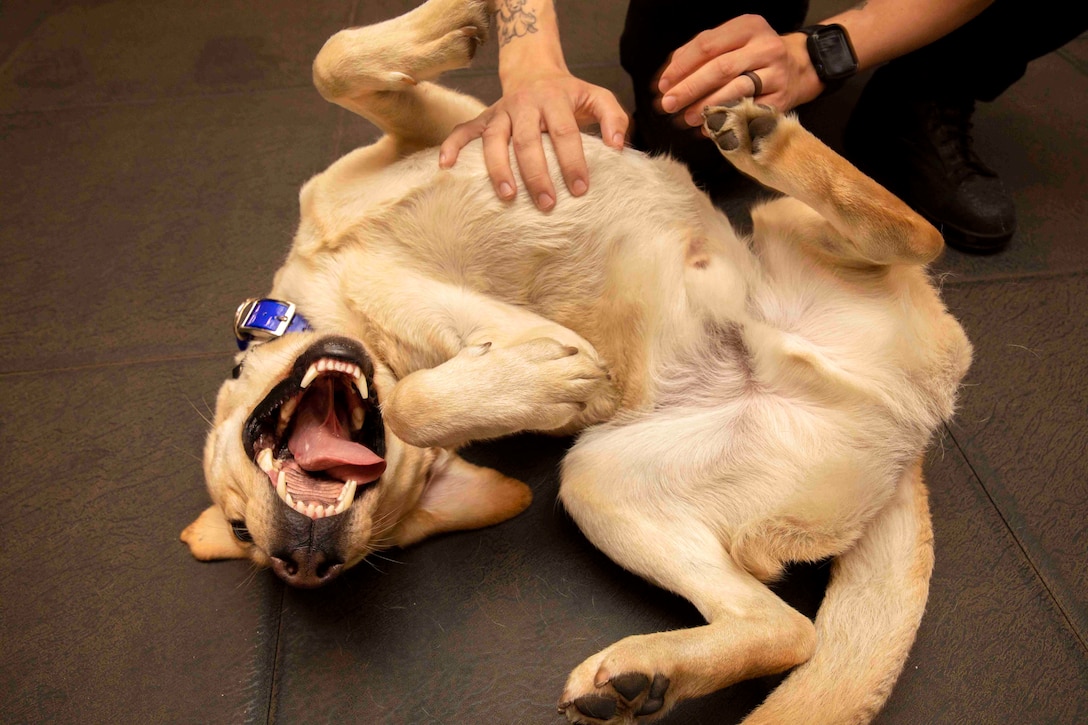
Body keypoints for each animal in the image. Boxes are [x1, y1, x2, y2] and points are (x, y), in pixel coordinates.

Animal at [178, 2, 970, 718]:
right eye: (245, 535)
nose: (304, 561)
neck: (323, 299)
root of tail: (913, 435)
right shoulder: (499, 334)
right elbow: (415, 400)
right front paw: (542, 382)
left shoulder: (453, 122)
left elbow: (335, 61)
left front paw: (450, 22)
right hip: (600, 482)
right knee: (785, 630)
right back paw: (644, 677)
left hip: (787, 228)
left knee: (922, 233)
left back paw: (763, 139)